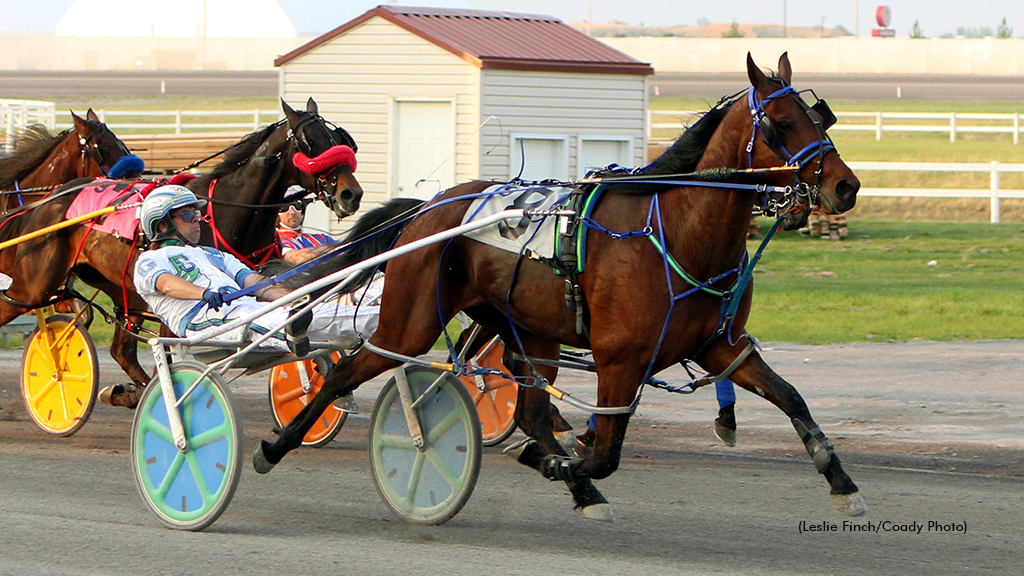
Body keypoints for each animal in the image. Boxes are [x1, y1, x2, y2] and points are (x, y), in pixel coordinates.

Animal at [0, 98, 364, 403]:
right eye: (311, 143)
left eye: (338, 139)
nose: (351, 194)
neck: (229, 209)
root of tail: (50, 199)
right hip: (34, 287)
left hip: (117, 286)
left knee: (122, 351)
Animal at [253, 53, 864, 518]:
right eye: (781, 122)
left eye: (820, 118)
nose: (846, 186)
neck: (678, 230)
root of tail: (430, 207)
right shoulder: (620, 358)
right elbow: (606, 452)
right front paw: (561, 460)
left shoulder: (721, 345)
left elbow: (790, 396)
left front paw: (841, 481)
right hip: (412, 321)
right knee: (344, 373)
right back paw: (274, 446)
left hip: (528, 330)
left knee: (527, 408)